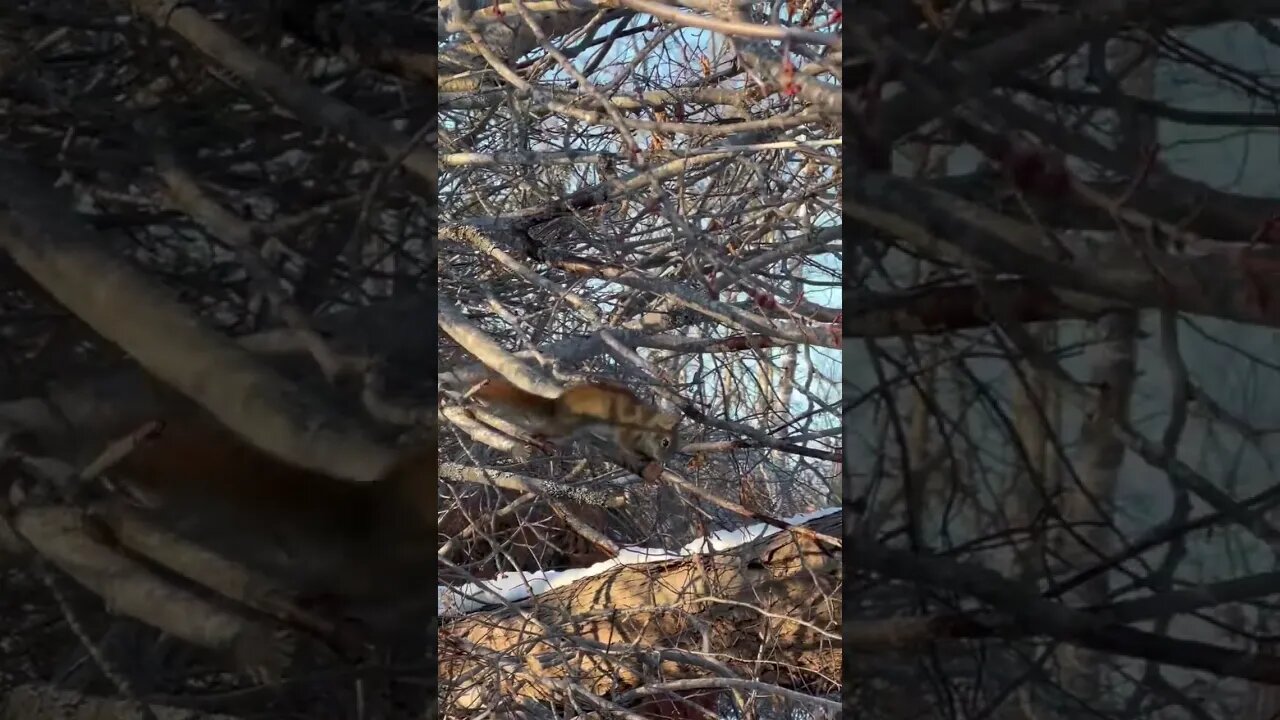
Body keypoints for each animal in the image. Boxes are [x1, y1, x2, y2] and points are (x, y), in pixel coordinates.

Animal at [466, 376, 681, 463]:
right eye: (665, 442)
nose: (664, 460)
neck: (645, 422)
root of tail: (556, 407)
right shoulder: (626, 430)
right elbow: (625, 445)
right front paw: (640, 456)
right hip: (564, 427)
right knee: (544, 429)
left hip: (567, 435)